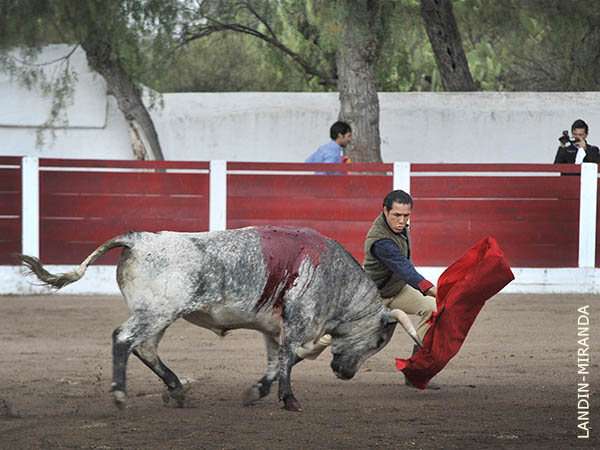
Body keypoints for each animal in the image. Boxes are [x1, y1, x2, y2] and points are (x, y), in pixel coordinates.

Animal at [18, 227, 422, 414]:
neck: (336, 279)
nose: (346, 374)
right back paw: (120, 395)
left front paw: (260, 392)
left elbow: (276, 362)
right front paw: (288, 399)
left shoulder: (273, 329)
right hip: (157, 312)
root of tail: (139, 239)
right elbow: (287, 360)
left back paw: (176, 388)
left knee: (145, 347)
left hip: (161, 315)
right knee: (123, 338)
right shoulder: (296, 325)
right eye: (379, 341)